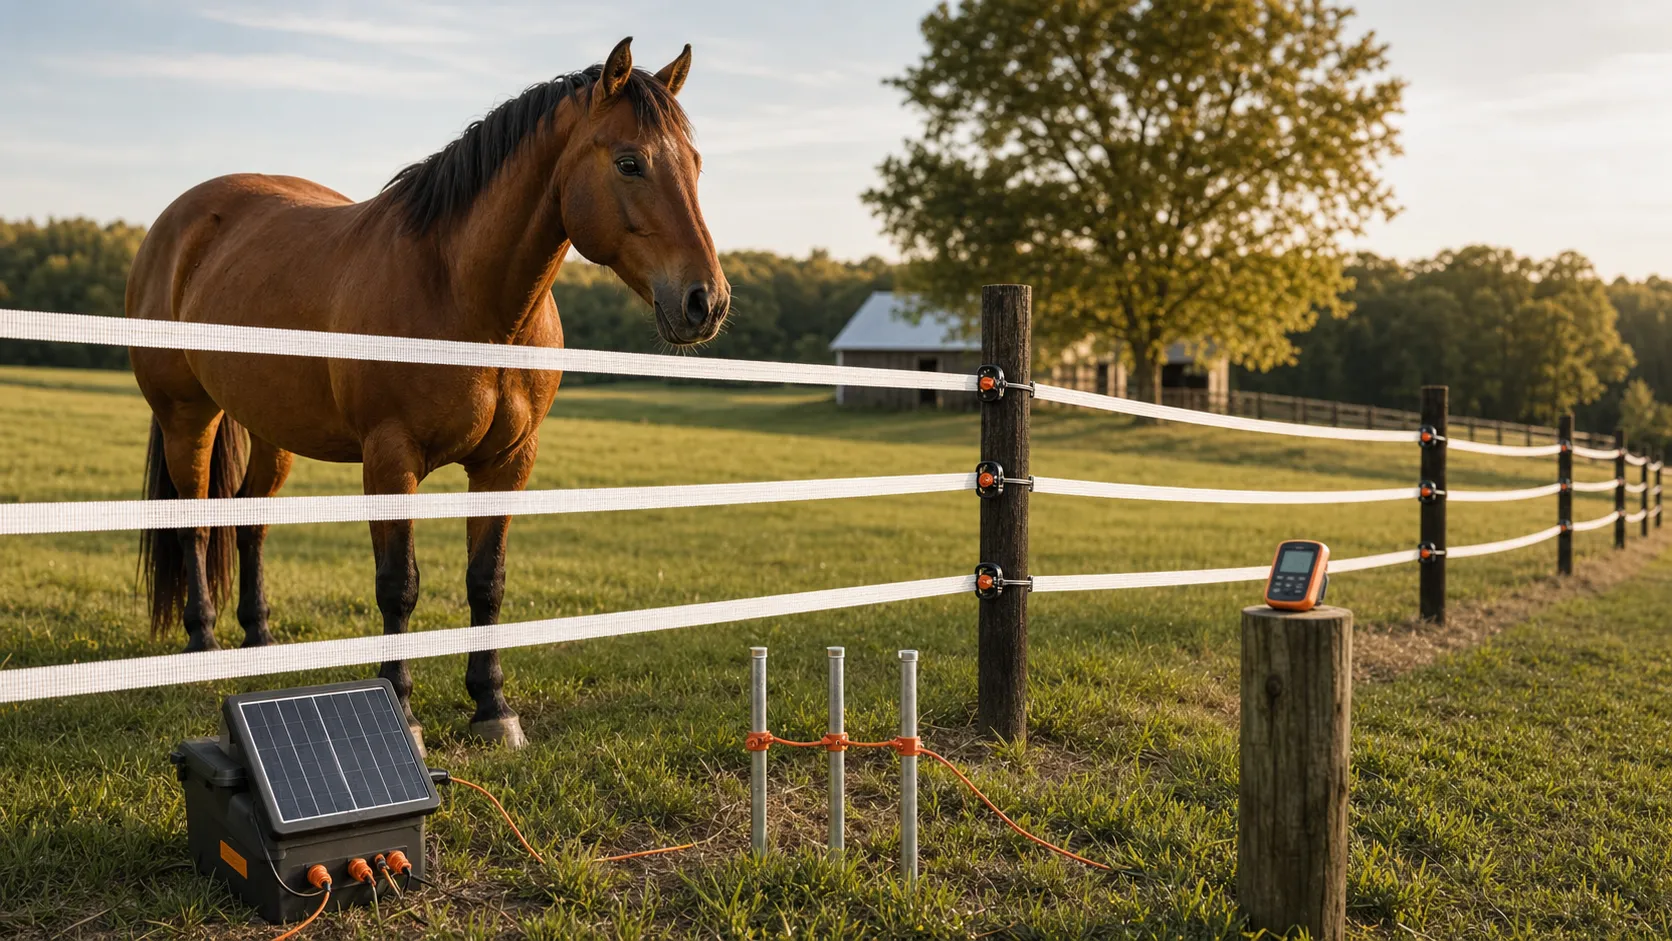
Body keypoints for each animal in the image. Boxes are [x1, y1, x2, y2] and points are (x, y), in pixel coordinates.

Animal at [125, 38, 728, 749]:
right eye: (630, 162)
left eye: (694, 164)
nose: (705, 301)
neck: (463, 294)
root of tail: (179, 222)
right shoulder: (391, 460)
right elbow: (399, 586)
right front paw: (403, 712)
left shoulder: (506, 464)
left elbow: (487, 582)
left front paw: (493, 708)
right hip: (187, 416)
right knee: (192, 520)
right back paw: (203, 643)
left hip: (272, 430)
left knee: (249, 521)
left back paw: (261, 639)